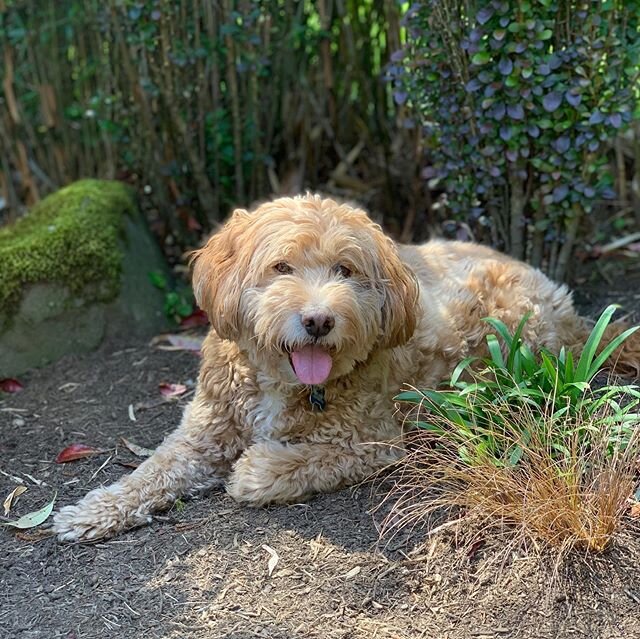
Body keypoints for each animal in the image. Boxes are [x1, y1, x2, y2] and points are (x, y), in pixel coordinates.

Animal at [55, 194, 640, 540]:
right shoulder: (201, 435)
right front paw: (93, 510)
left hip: (509, 327)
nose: (318, 320)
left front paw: (255, 469)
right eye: (281, 266)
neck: (279, 381)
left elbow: (292, 461)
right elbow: (151, 471)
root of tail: (569, 307)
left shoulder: (373, 441)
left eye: (346, 269)